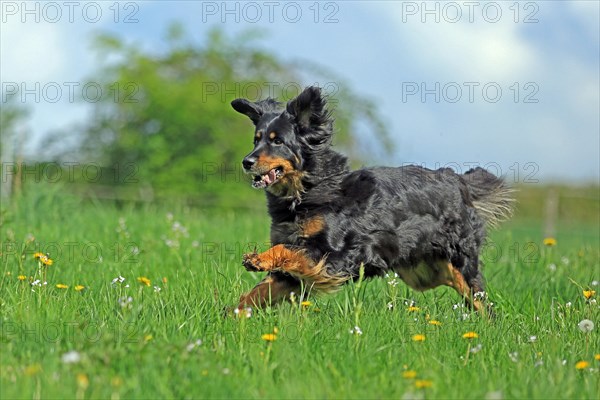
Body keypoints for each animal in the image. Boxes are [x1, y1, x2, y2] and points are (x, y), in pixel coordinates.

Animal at [232, 86, 512, 314]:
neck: (308, 189)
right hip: (424, 272)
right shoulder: (296, 273)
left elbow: (286, 250)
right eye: (256, 140)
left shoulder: (334, 256)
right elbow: (257, 292)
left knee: (482, 303)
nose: (246, 162)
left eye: (277, 141)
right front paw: (232, 316)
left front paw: (257, 259)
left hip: (459, 263)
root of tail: (458, 181)